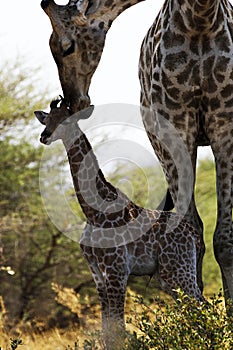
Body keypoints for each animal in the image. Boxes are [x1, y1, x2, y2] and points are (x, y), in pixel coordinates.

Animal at [35, 99, 204, 350]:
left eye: (65, 119)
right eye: (47, 119)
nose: (44, 136)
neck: (93, 212)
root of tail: (193, 235)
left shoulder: (116, 270)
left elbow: (118, 329)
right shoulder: (97, 271)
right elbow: (107, 328)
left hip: (178, 270)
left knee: (202, 307)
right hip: (170, 276)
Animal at [138, 0, 233, 306]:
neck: (200, 21)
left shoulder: (226, 127)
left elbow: (225, 238)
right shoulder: (175, 131)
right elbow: (190, 231)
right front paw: (195, 311)